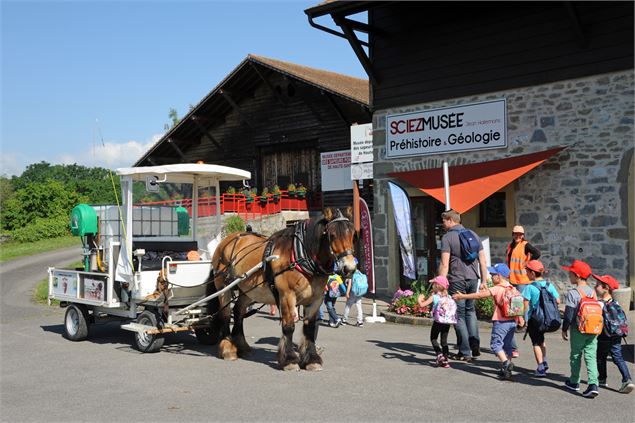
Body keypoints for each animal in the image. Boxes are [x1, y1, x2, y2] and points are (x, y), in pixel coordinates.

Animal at [205, 209, 358, 372]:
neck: (301, 255)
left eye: (353, 234)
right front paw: (290, 359)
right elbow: (289, 326)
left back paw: (242, 346)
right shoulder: (287, 295)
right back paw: (228, 349)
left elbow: (309, 328)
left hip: (248, 290)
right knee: (226, 314)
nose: (349, 268)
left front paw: (311, 359)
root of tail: (227, 239)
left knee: (238, 312)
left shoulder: (316, 298)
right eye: (333, 235)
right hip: (223, 286)